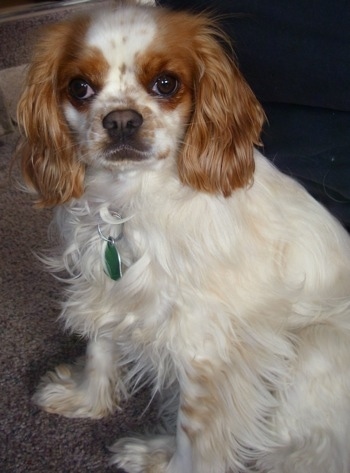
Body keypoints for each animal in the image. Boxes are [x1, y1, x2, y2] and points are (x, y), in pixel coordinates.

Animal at [15, 1, 350, 470]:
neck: (130, 200)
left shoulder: (204, 344)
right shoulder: (105, 284)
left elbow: (196, 436)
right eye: (79, 87)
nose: (121, 120)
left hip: (312, 347)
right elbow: (100, 348)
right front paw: (87, 399)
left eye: (166, 83)